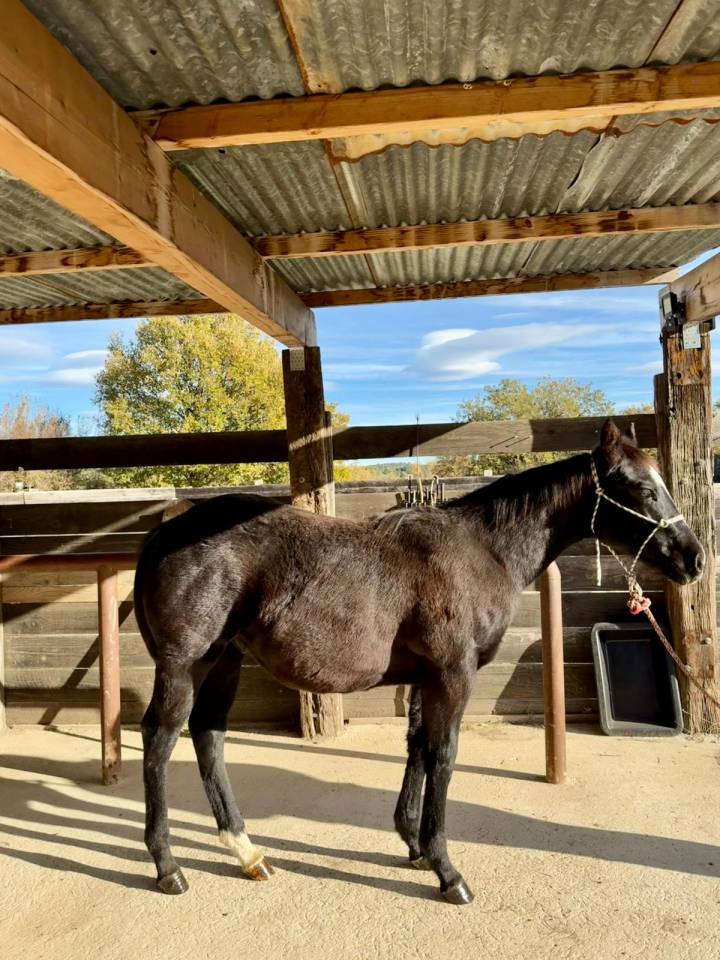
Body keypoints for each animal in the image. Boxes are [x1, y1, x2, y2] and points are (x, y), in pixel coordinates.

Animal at [135, 420, 703, 905]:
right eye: (642, 489)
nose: (694, 558)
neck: (481, 551)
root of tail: (165, 533)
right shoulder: (453, 673)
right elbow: (442, 756)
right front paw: (446, 870)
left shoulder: (424, 678)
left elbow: (416, 749)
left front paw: (412, 845)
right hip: (186, 666)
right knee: (160, 740)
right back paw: (168, 868)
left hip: (225, 663)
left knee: (209, 737)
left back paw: (246, 851)